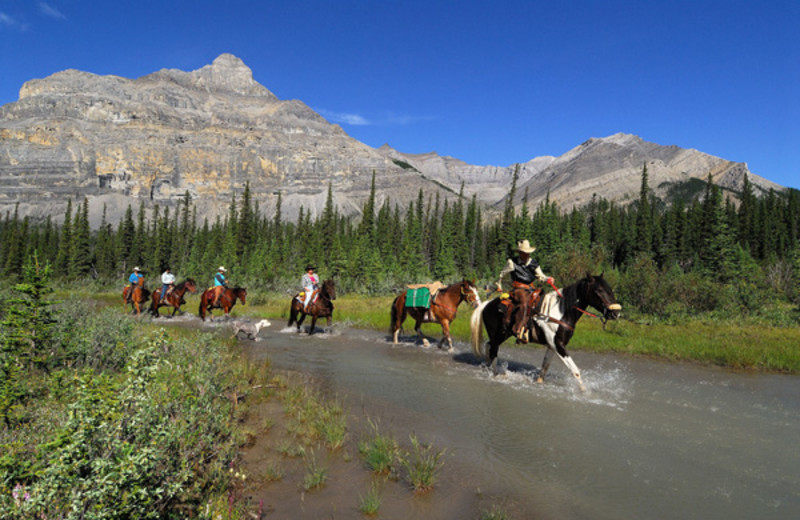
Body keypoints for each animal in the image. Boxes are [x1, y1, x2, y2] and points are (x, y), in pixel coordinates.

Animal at [472, 272, 620, 390]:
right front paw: (585, 392)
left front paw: (539, 383)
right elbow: (575, 371)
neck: (562, 312)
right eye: (598, 290)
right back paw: (494, 374)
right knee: (493, 350)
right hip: (498, 334)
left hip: (503, 334)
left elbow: (544, 368)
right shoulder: (558, 345)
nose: (616, 313)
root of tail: (487, 305)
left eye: (609, 289)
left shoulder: (552, 346)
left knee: (489, 346)